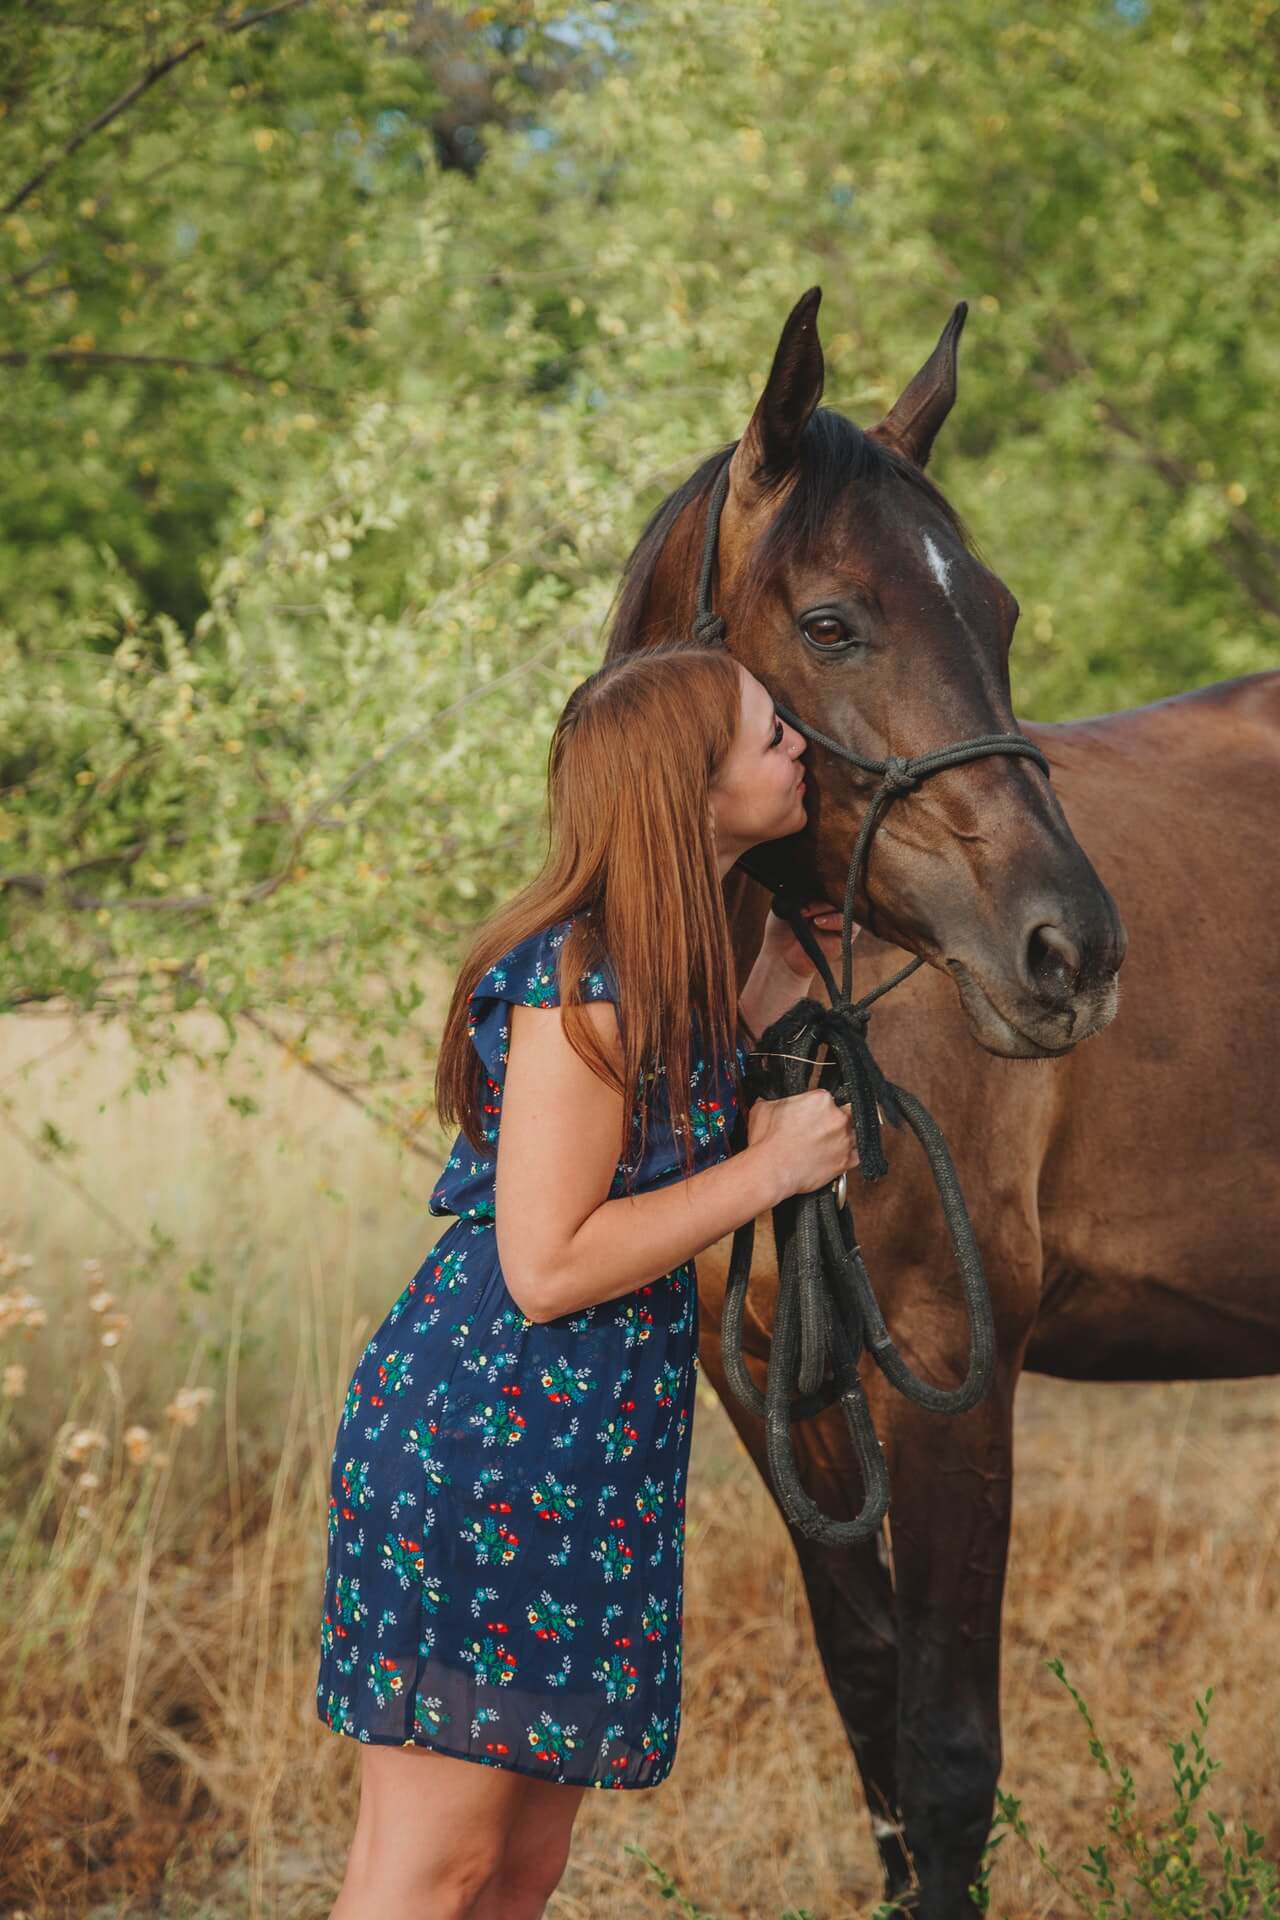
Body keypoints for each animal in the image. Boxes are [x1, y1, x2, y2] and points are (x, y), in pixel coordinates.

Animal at [602, 288, 1280, 1920]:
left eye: (1004, 616)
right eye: (830, 623)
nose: (1069, 952)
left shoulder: (950, 1360)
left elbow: (949, 1757)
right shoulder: (776, 1387)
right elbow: (876, 1738)